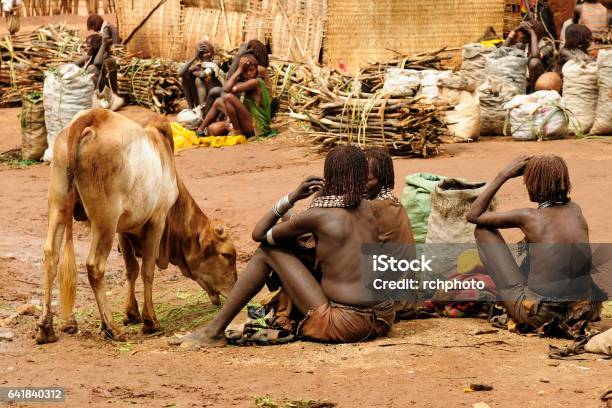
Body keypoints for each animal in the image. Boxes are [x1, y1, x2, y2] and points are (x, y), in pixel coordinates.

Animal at [36, 109, 237, 344]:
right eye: (227, 255)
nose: (233, 290)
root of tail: (92, 117)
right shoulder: (157, 221)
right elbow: (147, 271)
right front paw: (150, 321)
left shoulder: (124, 230)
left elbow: (131, 270)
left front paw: (131, 314)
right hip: (105, 220)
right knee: (95, 266)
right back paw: (111, 328)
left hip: (58, 205)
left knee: (51, 256)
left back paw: (46, 328)